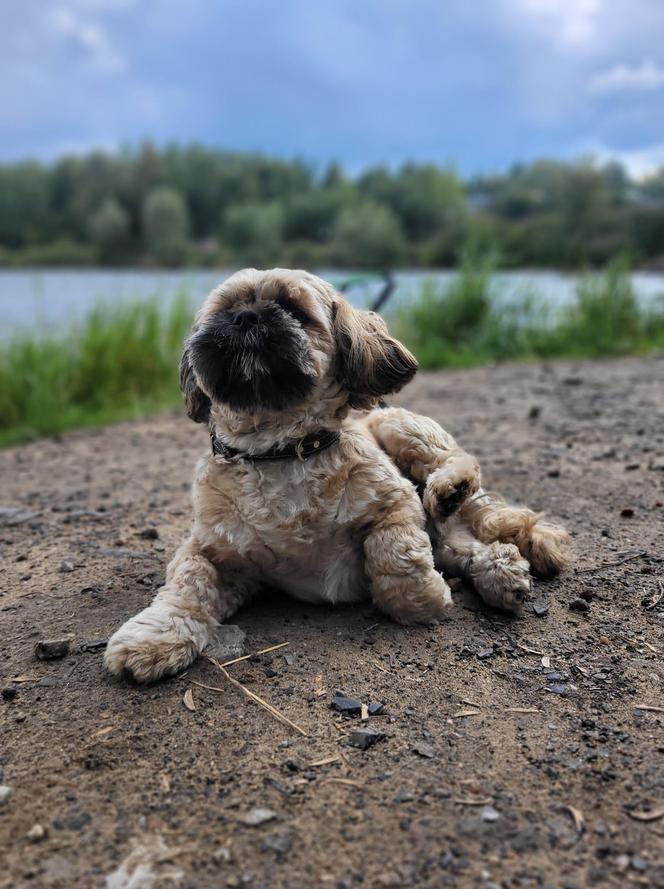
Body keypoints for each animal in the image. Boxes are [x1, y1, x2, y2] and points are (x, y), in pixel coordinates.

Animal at [105, 264, 572, 680]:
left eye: (293, 308)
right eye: (225, 309)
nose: (246, 317)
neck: (281, 451)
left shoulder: (396, 503)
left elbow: (394, 550)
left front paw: (420, 599)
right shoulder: (211, 550)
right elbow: (187, 585)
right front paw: (154, 637)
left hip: (400, 427)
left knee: (458, 474)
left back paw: (450, 490)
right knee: (461, 542)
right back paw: (498, 569)